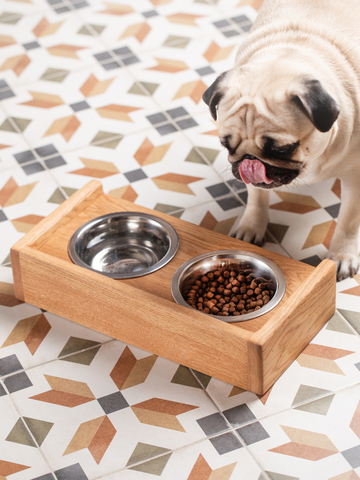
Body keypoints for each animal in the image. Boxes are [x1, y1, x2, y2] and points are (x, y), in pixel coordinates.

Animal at [204, 0, 360, 282]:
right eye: (226, 146)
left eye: (283, 149)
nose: (250, 161)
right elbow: (256, 197)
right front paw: (252, 226)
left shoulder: (355, 177)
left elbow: (348, 220)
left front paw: (342, 255)